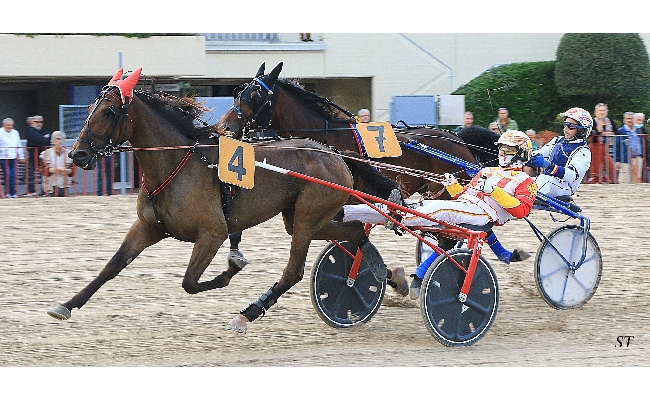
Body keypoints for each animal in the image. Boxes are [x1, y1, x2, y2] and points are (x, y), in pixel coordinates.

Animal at [48, 67, 392, 332]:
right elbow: (112, 266)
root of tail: (333, 153)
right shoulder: (148, 227)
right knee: (355, 232)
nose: (78, 155)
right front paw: (67, 305)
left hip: (309, 215)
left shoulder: (212, 233)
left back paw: (248, 313)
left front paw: (231, 269)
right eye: (89, 110)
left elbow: (189, 282)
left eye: (109, 111)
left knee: (294, 271)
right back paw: (381, 271)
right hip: (302, 218)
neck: (175, 164)